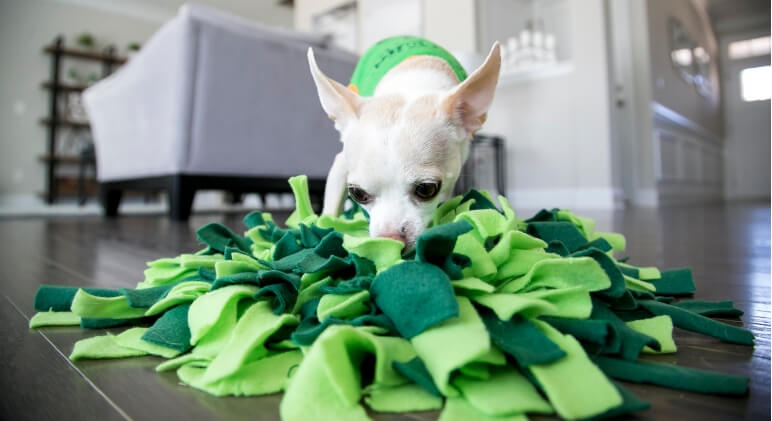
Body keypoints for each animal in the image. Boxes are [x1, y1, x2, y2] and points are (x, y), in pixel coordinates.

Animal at [308, 37, 500, 249]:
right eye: (357, 193)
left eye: (426, 189)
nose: (390, 239)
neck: (412, 87)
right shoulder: (341, 164)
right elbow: (331, 208)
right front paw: (324, 226)